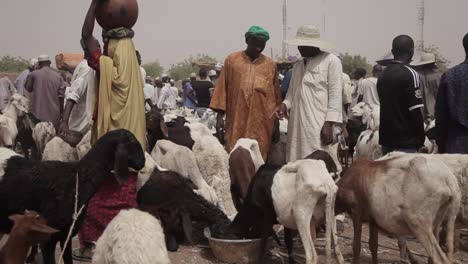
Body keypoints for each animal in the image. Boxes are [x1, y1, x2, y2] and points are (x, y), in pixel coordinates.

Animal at [212, 157, 344, 264]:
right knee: (338, 254)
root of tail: (325, 182)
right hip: (330, 213)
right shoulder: (284, 219)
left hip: (301, 215)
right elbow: (288, 241)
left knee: (311, 256)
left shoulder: (266, 217)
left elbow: (263, 243)